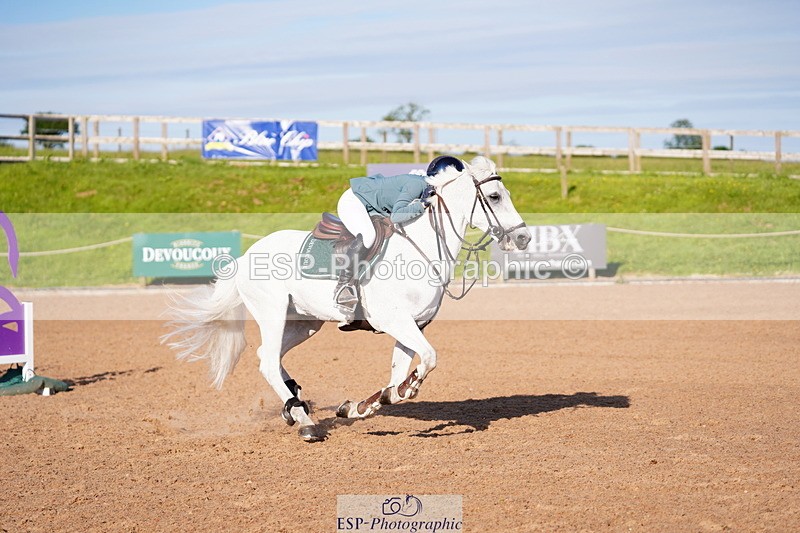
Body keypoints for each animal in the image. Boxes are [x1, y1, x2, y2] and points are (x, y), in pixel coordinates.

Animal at [163, 156, 532, 442]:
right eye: (495, 196)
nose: (524, 238)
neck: (424, 247)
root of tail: (246, 255)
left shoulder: (413, 324)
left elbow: (397, 376)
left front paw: (360, 406)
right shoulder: (394, 320)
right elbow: (427, 360)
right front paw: (407, 389)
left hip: (304, 322)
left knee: (267, 355)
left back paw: (295, 407)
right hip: (273, 312)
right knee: (267, 360)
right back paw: (307, 425)